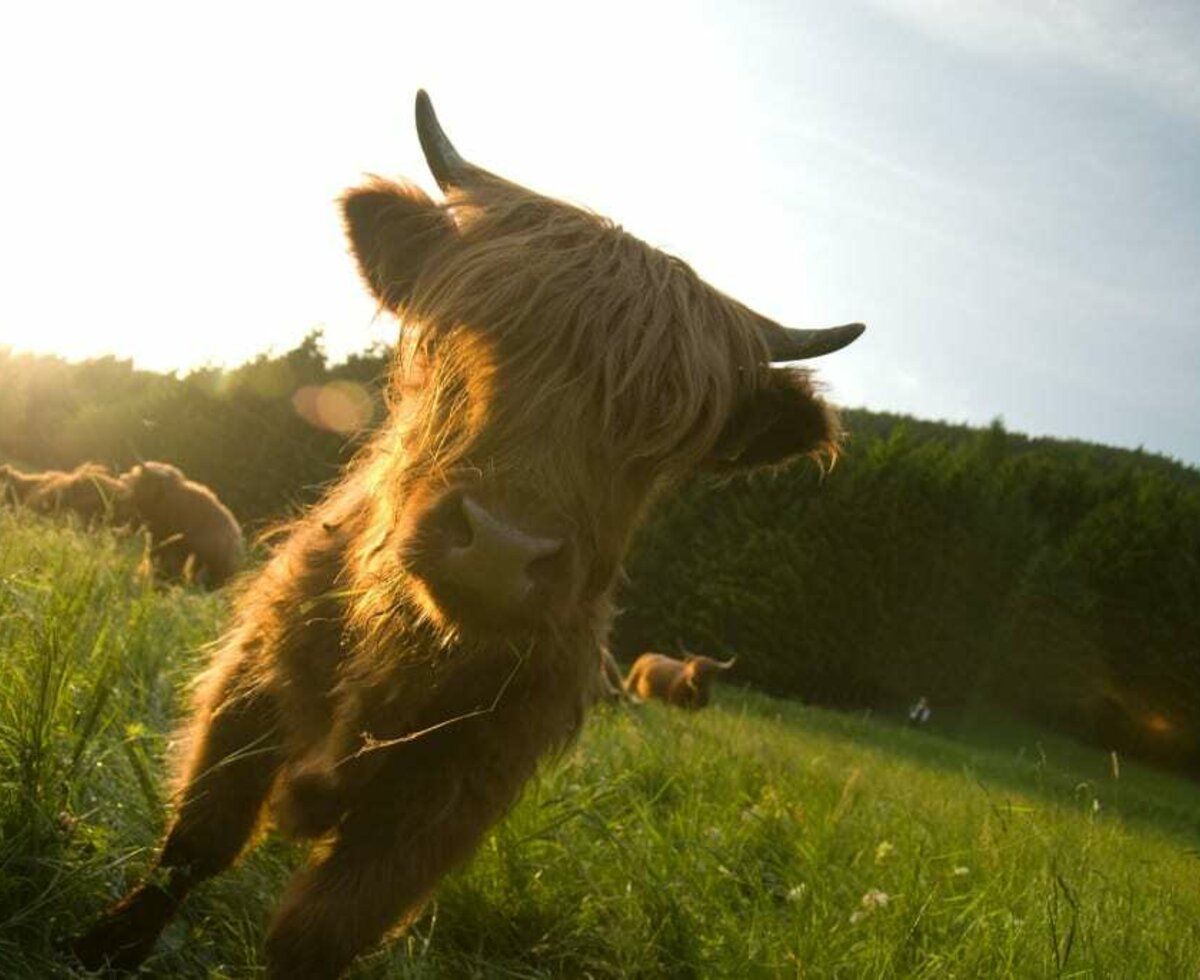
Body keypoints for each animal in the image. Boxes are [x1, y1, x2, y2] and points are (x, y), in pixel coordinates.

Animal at [72, 93, 864, 978]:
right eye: (477, 334)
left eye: (662, 435)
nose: (500, 549)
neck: (406, 651)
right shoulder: (257, 677)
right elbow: (197, 839)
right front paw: (106, 946)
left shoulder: (452, 795)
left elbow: (320, 930)